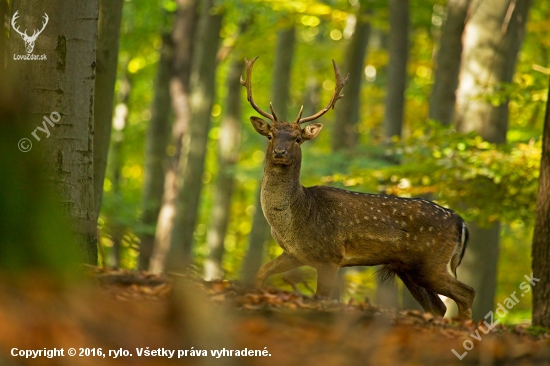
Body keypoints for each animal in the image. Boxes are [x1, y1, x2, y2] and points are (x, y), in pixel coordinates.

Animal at [242, 55, 478, 318]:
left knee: (467, 293)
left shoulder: (330, 256)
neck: (295, 220)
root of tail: (461, 222)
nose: (280, 152)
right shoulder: (295, 254)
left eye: (298, 138)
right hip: (409, 268)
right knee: (438, 306)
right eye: (270, 135)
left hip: (431, 261)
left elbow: (322, 297)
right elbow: (261, 272)